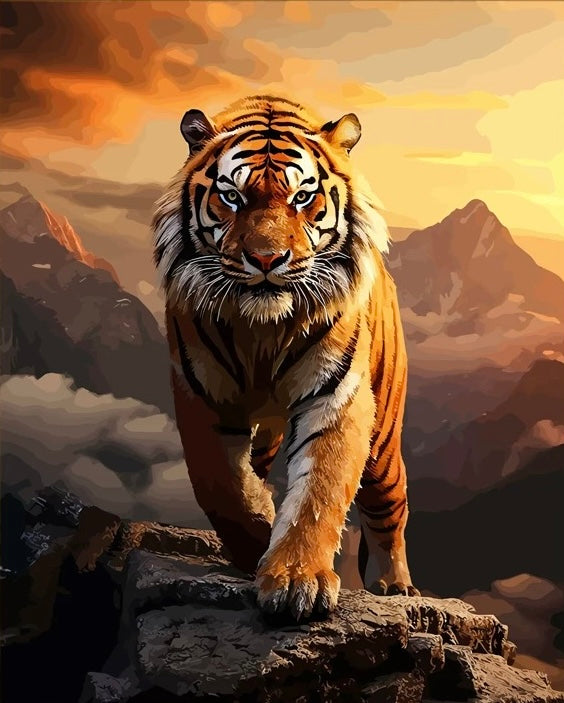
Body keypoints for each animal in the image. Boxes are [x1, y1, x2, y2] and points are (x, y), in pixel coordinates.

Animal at [153, 94, 419, 621]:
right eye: (232, 196)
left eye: (301, 198)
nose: (266, 259)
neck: (263, 331)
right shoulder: (200, 392)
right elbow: (223, 484)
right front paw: (256, 538)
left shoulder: (336, 394)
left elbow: (320, 488)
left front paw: (298, 580)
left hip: (384, 443)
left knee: (390, 506)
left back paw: (394, 585)